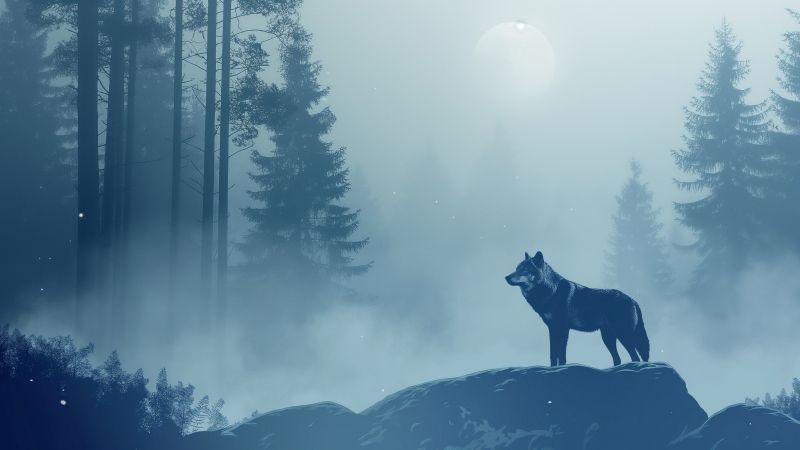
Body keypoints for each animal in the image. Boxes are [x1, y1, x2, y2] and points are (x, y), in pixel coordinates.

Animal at [505, 251, 649, 367]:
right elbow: (553, 354)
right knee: (618, 359)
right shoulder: (552, 329)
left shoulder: (563, 329)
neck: (552, 291)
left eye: (524, 269)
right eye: (516, 268)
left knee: (635, 357)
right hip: (608, 338)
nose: (506, 277)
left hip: (623, 335)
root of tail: (633, 300)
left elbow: (561, 355)